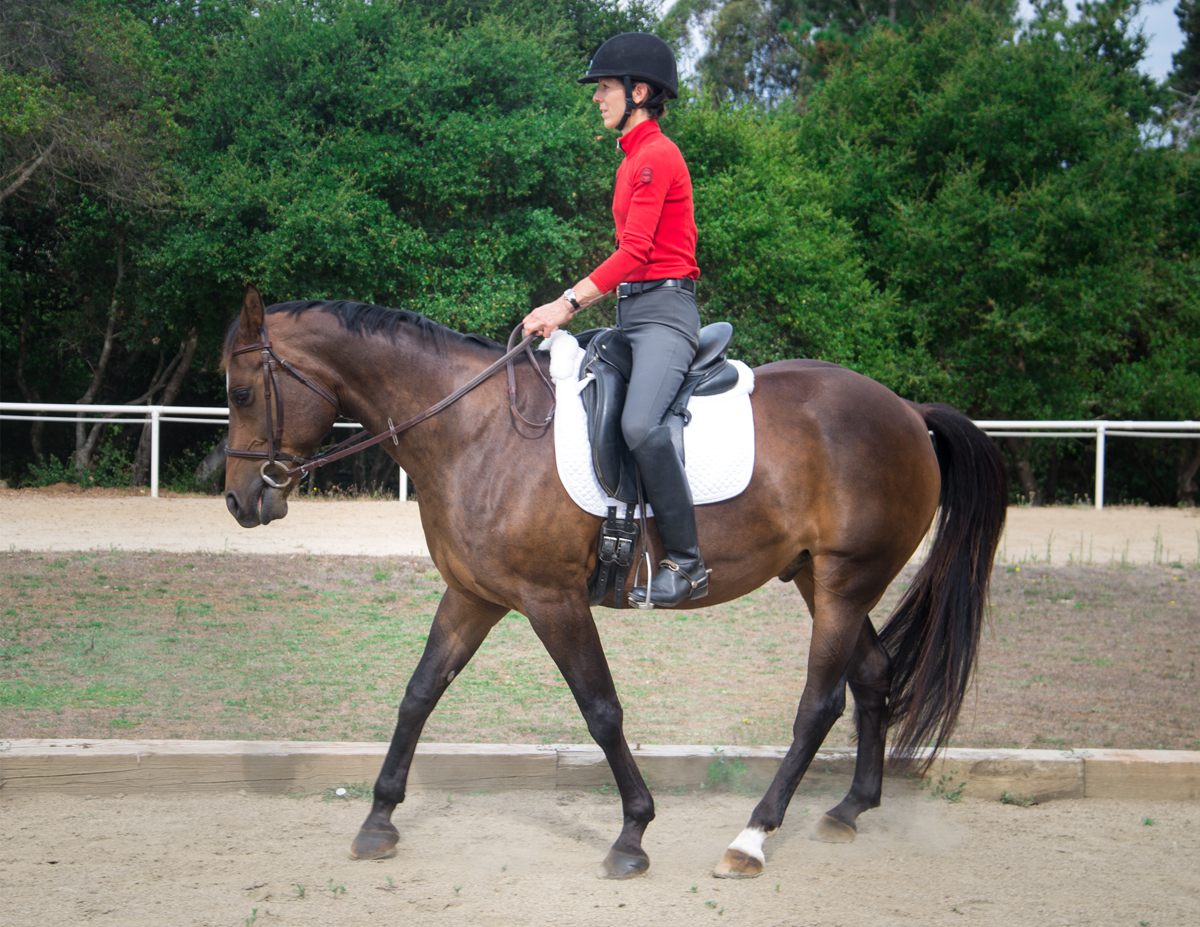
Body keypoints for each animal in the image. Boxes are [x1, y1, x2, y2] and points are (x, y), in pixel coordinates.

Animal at [223, 284, 1006, 879]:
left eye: (242, 392)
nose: (240, 500)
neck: (475, 429)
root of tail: (907, 410)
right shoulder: (474, 596)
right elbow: (418, 695)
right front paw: (379, 818)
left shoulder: (552, 601)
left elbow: (601, 710)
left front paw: (633, 832)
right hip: (822, 578)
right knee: (873, 676)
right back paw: (849, 809)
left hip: (846, 581)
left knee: (819, 704)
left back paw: (751, 838)